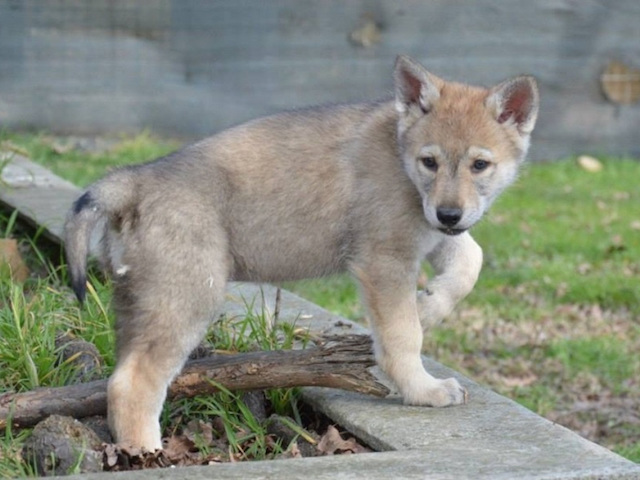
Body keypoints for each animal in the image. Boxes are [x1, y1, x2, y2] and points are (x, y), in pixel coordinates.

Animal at [65, 55, 539, 450]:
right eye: (430, 162)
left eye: (480, 165)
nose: (449, 213)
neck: (400, 158)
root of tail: (134, 181)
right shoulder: (385, 260)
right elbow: (403, 337)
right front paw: (424, 390)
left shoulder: (432, 234)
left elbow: (469, 262)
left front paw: (430, 305)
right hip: (187, 301)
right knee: (132, 383)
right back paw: (147, 453)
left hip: (142, 305)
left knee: (119, 375)